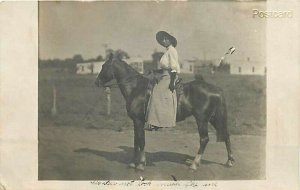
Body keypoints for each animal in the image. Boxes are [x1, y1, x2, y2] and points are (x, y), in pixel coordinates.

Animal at [95, 54, 234, 171]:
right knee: (226, 134)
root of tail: (216, 89)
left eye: (104, 66)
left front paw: (141, 164)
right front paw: (133, 163)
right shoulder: (136, 122)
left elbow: (141, 141)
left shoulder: (138, 121)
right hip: (214, 118)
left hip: (202, 119)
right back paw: (229, 161)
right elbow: (136, 142)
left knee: (204, 139)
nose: (96, 82)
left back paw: (194, 164)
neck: (136, 89)